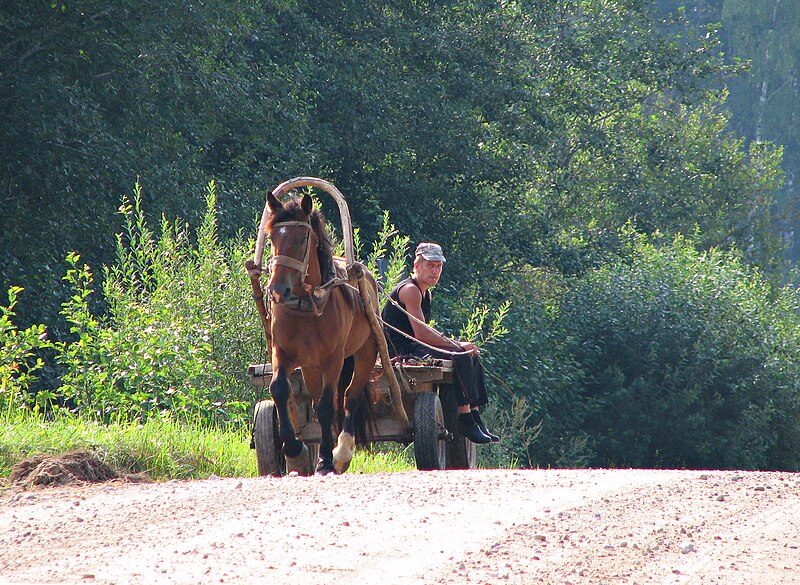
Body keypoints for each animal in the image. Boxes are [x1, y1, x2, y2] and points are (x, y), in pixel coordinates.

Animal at [260, 192, 376, 474]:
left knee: (350, 396)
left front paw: (325, 460)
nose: (278, 290)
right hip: (310, 367)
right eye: (272, 238)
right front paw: (294, 449)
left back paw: (342, 452)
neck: (307, 305)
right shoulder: (283, 353)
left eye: (302, 238)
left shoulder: (333, 360)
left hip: (365, 352)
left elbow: (326, 407)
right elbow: (279, 388)